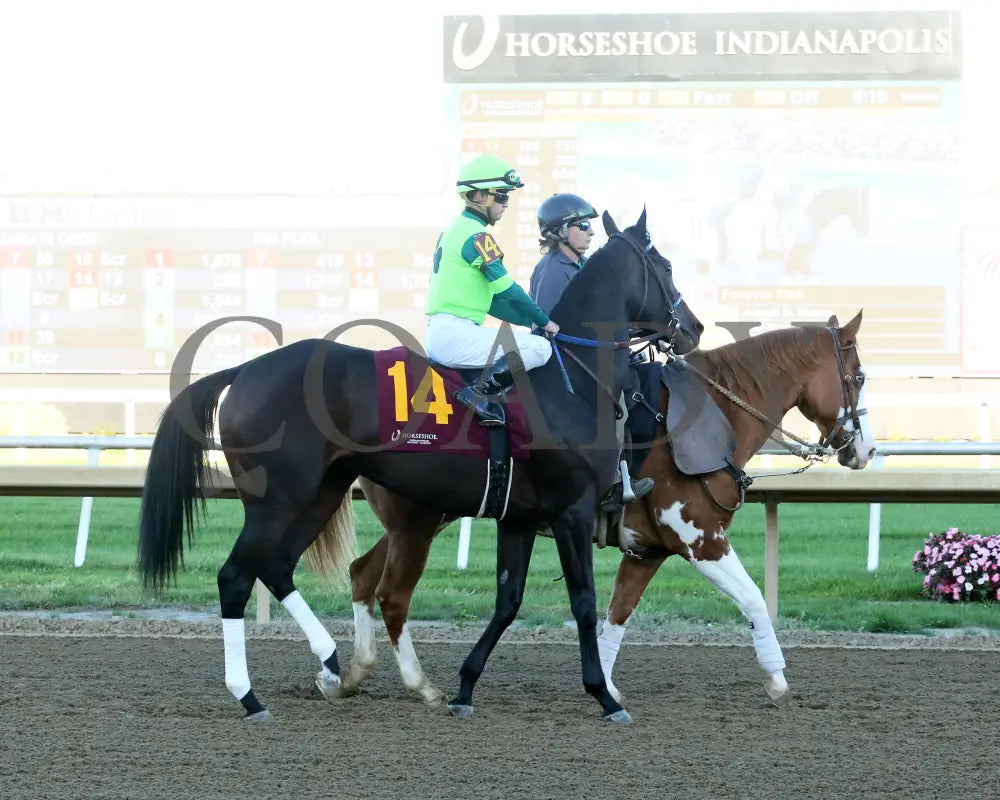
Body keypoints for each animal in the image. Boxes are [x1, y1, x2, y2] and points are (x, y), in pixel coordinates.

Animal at [137, 208, 704, 724]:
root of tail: (245, 370)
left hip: (322, 491)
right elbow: (583, 601)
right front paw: (604, 696)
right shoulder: (573, 512)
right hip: (278, 499)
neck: (571, 383)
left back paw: (334, 665)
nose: (694, 328)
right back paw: (250, 697)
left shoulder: (519, 516)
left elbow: (508, 599)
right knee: (238, 577)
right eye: (667, 266)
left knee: (279, 568)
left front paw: (465, 688)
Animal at [340, 310, 872, 708]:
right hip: (419, 521)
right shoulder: (700, 538)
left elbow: (617, 615)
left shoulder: (647, 551)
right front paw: (778, 681)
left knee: (362, 574)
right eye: (861, 375)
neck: (711, 415)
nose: (863, 450)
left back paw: (349, 674)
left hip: (416, 521)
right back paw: (411, 682)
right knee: (391, 592)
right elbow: (755, 599)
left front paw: (607, 686)